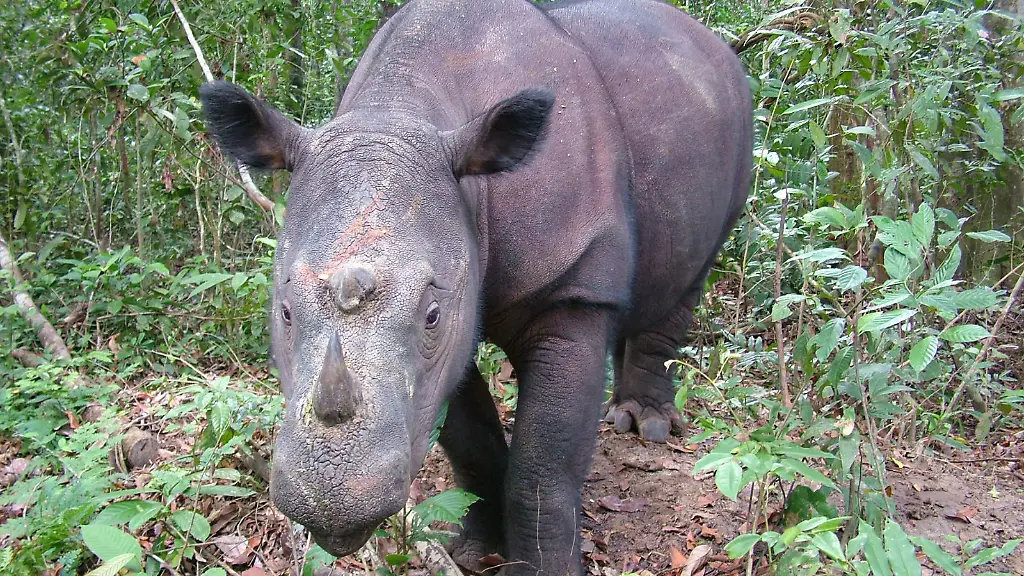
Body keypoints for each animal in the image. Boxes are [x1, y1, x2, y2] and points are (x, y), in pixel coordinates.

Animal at [199, 0, 751, 572]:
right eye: (285, 311)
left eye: (431, 315)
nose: (330, 501)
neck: (403, 111)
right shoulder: (450, 327)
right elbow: (470, 442)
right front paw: (472, 550)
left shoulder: (570, 287)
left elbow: (544, 465)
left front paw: (545, 566)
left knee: (691, 276)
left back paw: (645, 425)